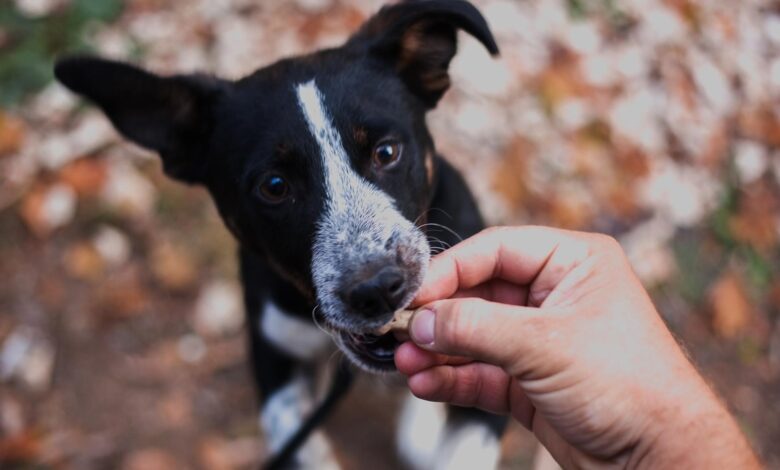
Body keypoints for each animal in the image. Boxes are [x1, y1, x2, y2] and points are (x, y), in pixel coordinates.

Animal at [54, 1, 506, 468]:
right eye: (274, 186)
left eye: (386, 152)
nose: (378, 289)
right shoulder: (273, 346)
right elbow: (293, 433)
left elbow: (467, 443)